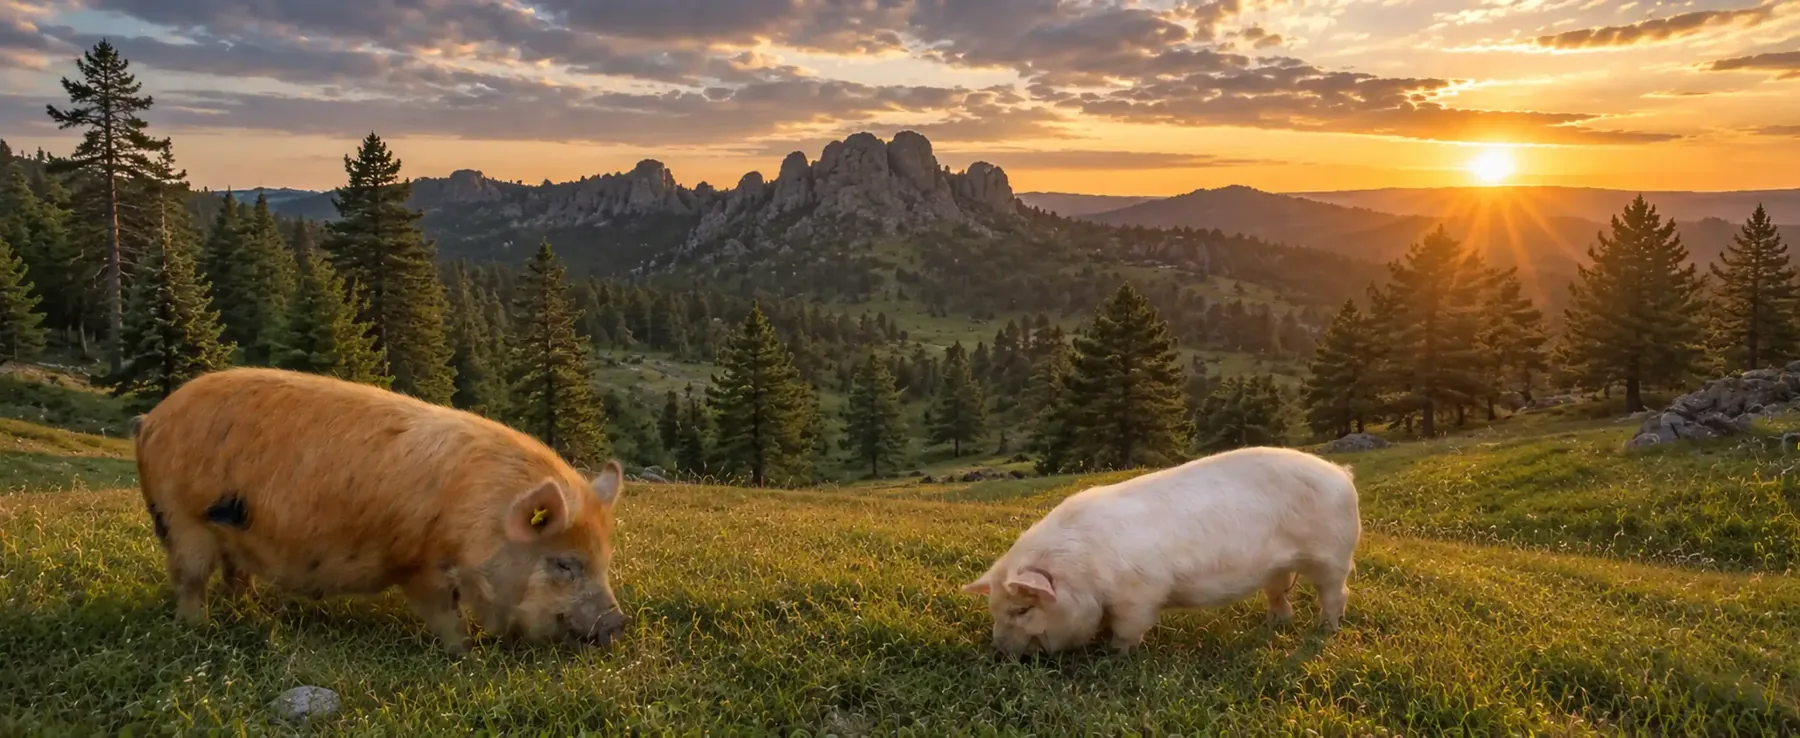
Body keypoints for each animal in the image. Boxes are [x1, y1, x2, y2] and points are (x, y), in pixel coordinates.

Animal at [132, 367, 629, 653]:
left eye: (605, 560)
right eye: (564, 563)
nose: (618, 624)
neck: (480, 518)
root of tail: (151, 419)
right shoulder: (421, 564)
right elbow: (444, 612)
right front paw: (466, 653)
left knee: (236, 573)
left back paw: (256, 613)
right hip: (183, 519)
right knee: (189, 578)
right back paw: (201, 629)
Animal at [961, 446, 1360, 655]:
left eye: (1023, 608)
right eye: (994, 608)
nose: (998, 651)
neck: (1084, 574)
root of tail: (1341, 473)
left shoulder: (1140, 594)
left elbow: (1127, 630)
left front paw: (1113, 654)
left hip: (1333, 554)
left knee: (1336, 594)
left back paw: (1324, 631)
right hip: (1278, 567)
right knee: (1279, 594)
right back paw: (1273, 624)